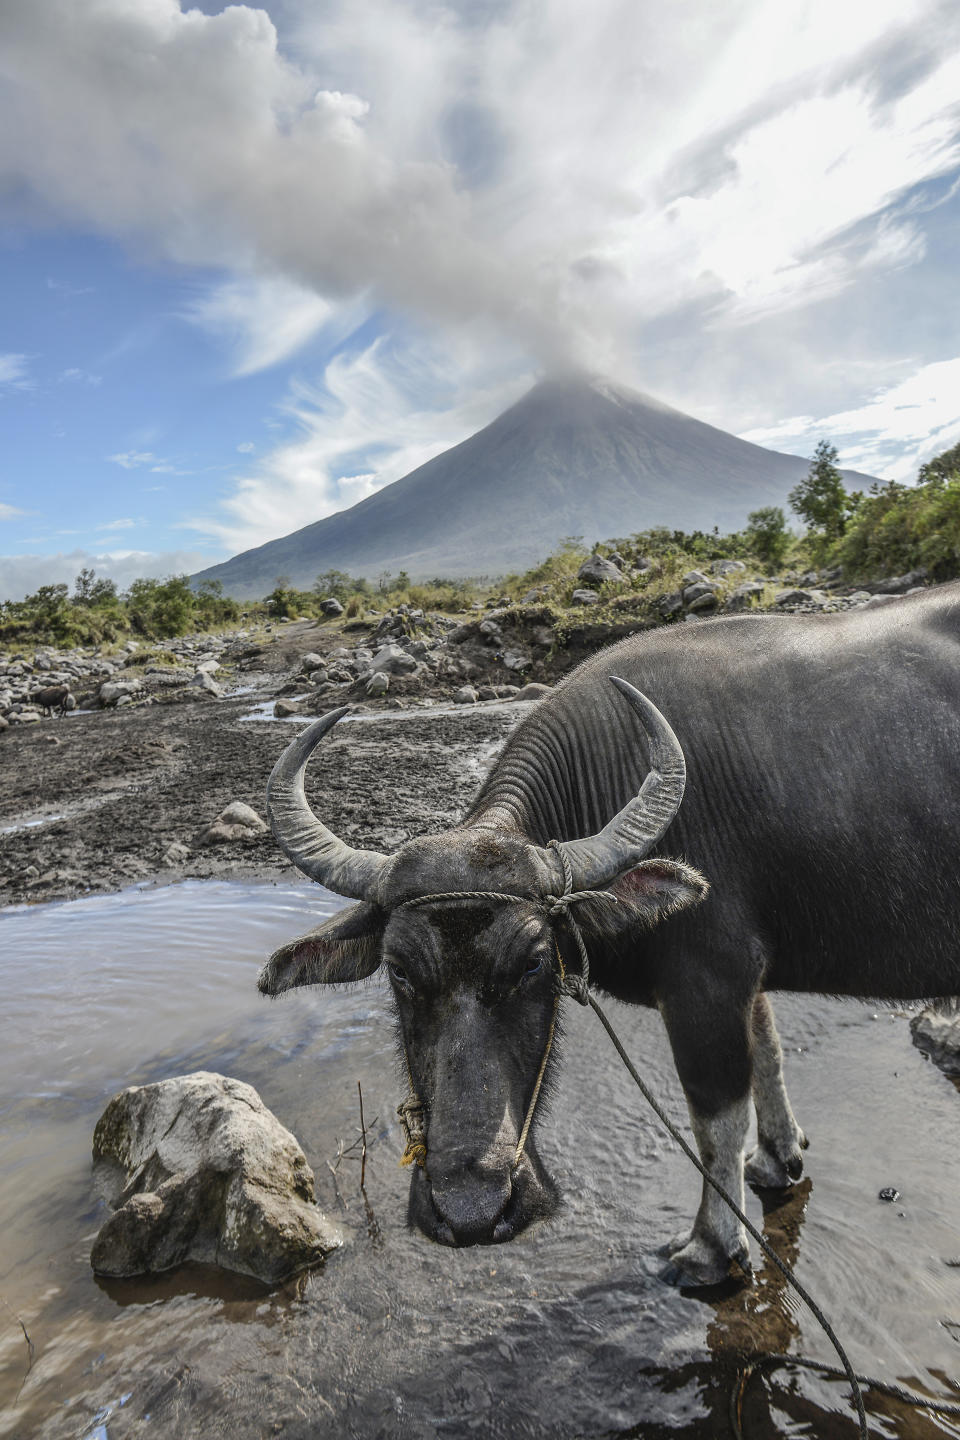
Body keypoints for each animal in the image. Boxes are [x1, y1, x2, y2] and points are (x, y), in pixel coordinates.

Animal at [259, 581, 955, 1284]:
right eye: (399, 969)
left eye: (533, 962)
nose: (471, 1211)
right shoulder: (747, 982)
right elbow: (769, 1051)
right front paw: (778, 1160)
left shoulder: (708, 984)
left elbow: (715, 1119)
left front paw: (708, 1247)